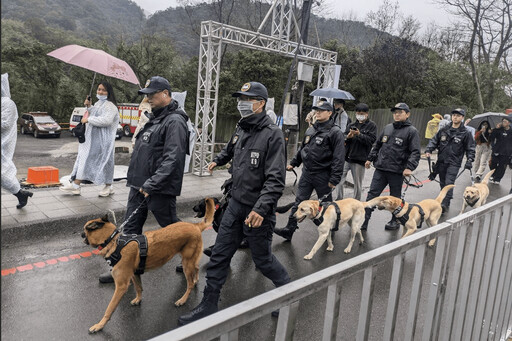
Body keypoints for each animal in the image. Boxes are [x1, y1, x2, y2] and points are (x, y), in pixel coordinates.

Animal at [82, 197, 214, 332]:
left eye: (85, 229)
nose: (81, 234)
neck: (113, 241)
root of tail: (195, 225)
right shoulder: (134, 274)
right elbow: (139, 288)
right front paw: (138, 299)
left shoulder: (121, 286)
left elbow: (109, 308)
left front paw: (100, 325)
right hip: (190, 260)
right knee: (196, 268)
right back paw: (196, 280)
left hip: (187, 264)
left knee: (190, 284)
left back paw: (182, 300)